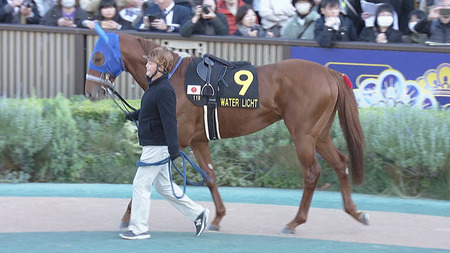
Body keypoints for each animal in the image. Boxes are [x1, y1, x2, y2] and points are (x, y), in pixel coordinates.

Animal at [84, 32, 370, 234]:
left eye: (97, 57)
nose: (90, 91)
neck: (173, 77)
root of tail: (330, 72)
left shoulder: (177, 138)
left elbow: (146, 177)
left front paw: (127, 217)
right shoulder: (198, 140)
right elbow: (210, 176)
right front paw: (217, 217)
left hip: (303, 135)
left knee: (312, 173)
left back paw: (294, 222)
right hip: (319, 134)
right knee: (341, 163)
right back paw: (356, 212)